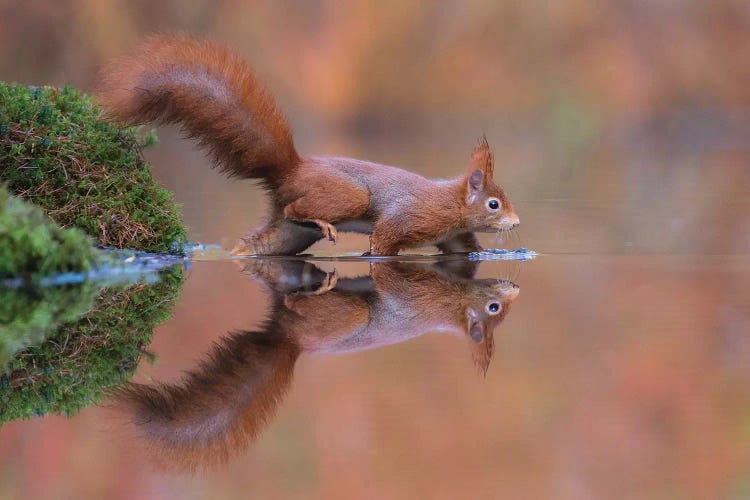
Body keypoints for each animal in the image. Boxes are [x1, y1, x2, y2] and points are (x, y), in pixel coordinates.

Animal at [97, 35, 520, 256]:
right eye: (494, 204)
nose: (517, 223)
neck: (451, 204)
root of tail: (291, 168)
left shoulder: (454, 237)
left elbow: (466, 252)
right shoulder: (412, 219)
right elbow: (383, 242)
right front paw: (373, 257)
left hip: (287, 235)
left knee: (260, 243)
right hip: (348, 197)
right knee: (295, 208)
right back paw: (321, 221)